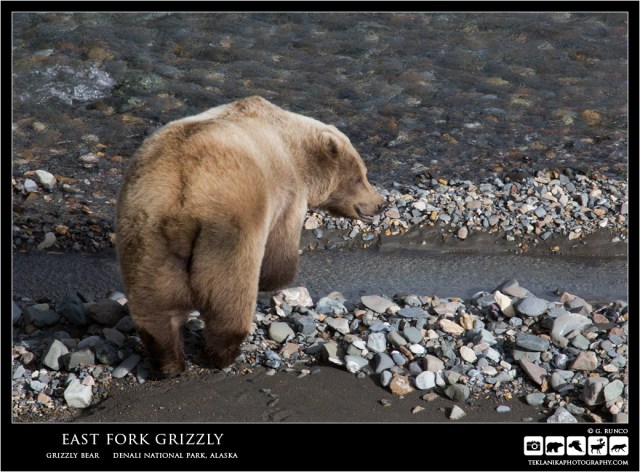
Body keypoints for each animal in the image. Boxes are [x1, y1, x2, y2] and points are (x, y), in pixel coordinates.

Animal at [116, 96, 386, 376]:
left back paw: (169, 362)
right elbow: (280, 250)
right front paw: (275, 280)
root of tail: (181, 199)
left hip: (147, 237)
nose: (381, 204)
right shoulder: (287, 195)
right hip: (226, 229)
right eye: (359, 178)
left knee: (157, 309)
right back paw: (223, 354)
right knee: (229, 295)